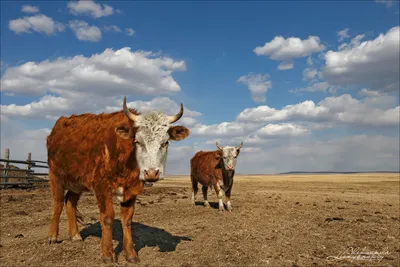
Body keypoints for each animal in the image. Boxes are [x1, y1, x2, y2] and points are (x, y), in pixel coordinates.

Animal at [46, 96, 190, 264]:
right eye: (137, 141)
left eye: (165, 142)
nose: (151, 173)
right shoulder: (102, 186)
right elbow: (107, 217)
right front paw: (108, 254)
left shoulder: (132, 189)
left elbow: (127, 220)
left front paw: (131, 254)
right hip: (55, 175)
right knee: (58, 203)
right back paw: (52, 236)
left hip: (77, 182)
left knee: (70, 201)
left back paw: (75, 235)